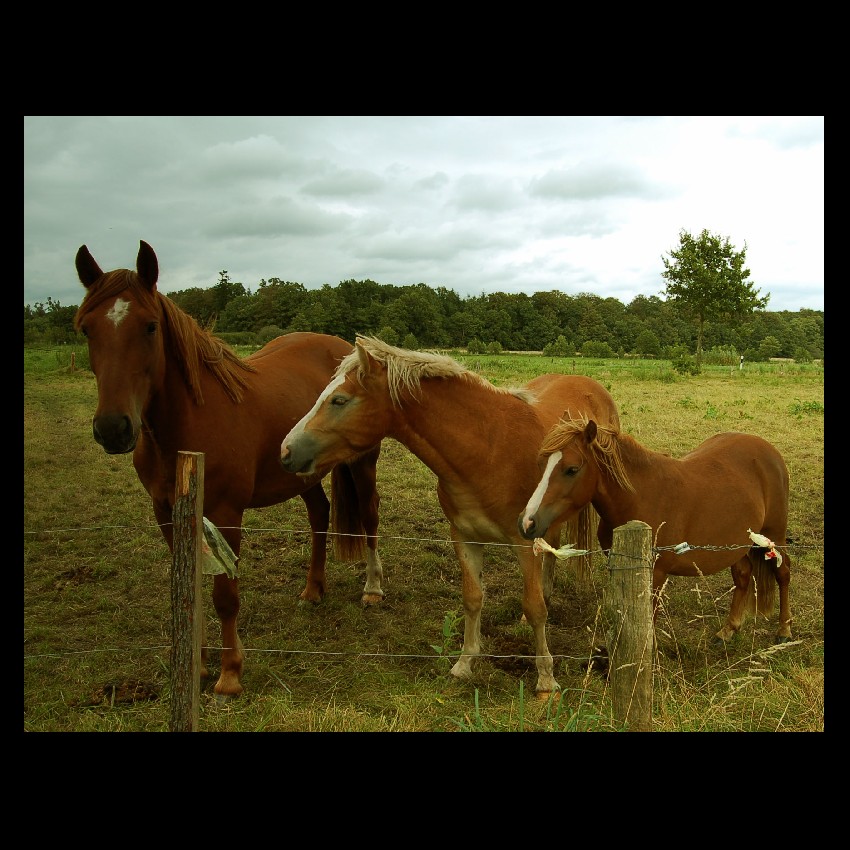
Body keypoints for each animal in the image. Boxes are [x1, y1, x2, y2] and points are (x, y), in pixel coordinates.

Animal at [74, 237, 386, 696]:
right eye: (86, 329)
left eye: (150, 326)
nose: (114, 429)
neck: (188, 427)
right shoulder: (167, 514)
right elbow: (188, 588)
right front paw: (198, 665)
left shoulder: (225, 515)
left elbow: (225, 596)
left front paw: (230, 674)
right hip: (302, 471)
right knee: (320, 515)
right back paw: (313, 589)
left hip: (363, 465)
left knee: (369, 516)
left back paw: (372, 590)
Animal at [282, 332, 620, 696]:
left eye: (339, 400)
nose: (285, 451)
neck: (489, 448)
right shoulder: (465, 537)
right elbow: (473, 598)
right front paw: (464, 664)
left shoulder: (522, 540)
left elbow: (534, 607)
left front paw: (545, 678)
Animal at [516, 416, 796, 644]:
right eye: (541, 464)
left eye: (572, 469)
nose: (528, 522)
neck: (640, 497)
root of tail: (768, 450)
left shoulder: (656, 573)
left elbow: (648, 618)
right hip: (737, 543)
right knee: (743, 575)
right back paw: (728, 630)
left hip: (773, 535)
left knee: (783, 572)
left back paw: (784, 630)